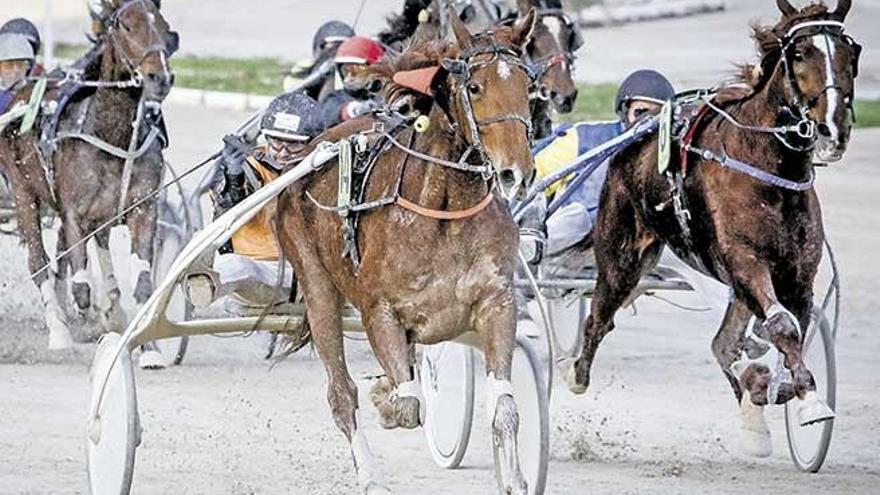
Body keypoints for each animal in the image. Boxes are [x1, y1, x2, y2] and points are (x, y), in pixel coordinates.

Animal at [0, 0, 177, 362]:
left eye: (164, 26)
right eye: (126, 25)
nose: (160, 78)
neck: (112, 134)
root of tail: (21, 93)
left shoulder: (143, 207)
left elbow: (143, 283)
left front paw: (148, 349)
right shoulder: (73, 213)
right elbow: (80, 285)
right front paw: (86, 323)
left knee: (98, 242)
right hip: (23, 192)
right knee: (39, 262)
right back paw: (60, 330)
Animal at [276, 9, 536, 494]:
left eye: (527, 86)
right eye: (475, 87)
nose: (516, 172)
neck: (445, 209)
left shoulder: (497, 302)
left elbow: (506, 407)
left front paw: (513, 477)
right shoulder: (380, 312)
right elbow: (409, 406)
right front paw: (387, 398)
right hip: (316, 285)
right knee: (341, 393)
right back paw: (370, 472)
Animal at [564, 0, 860, 458]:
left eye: (851, 51)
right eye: (798, 53)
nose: (832, 129)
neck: (768, 167)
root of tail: (632, 141)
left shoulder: (796, 275)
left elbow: (788, 331)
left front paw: (777, 387)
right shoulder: (745, 261)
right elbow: (782, 327)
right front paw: (806, 399)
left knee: (723, 342)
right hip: (620, 259)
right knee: (598, 316)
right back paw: (577, 374)